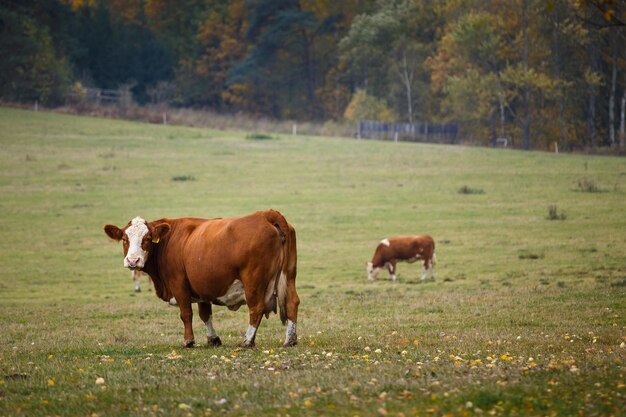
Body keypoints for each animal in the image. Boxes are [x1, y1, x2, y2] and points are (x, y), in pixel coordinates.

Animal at [103, 208, 298, 348]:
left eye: (148, 238)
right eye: (124, 239)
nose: (132, 260)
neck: (169, 240)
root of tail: (266, 214)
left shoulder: (179, 284)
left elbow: (186, 313)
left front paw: (189, 341)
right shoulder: (201, 287)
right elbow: (205, 314)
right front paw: (213, 339)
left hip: (253, 281)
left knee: (256, 308)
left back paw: (247, 341)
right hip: (288, 275)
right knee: (292, 302)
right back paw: (290, 340)